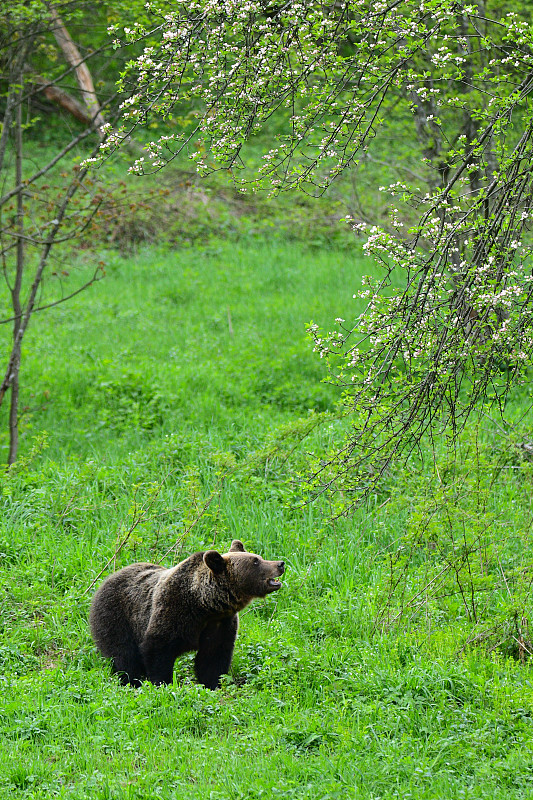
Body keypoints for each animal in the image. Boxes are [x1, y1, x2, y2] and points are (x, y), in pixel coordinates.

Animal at [89, 540, 284, 692]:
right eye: (255, 561)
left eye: (258, 557)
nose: (280, 564)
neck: (204, 605)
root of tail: (107, 578)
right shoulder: (172, 611)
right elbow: (157, 651)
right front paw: (162, 684)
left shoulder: (220, 624)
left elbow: (213, 658)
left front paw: (212, 685)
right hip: (116, 616)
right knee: (123, 655)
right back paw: (131, 681)